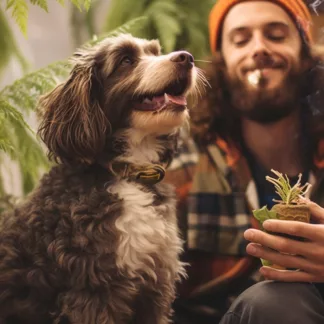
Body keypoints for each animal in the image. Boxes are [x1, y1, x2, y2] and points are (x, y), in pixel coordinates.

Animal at [0, 34, 205, 322]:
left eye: (156, 52)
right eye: (126, 60)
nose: (187, 57)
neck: (127, 173)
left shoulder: (155, 287)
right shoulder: (93, 291)